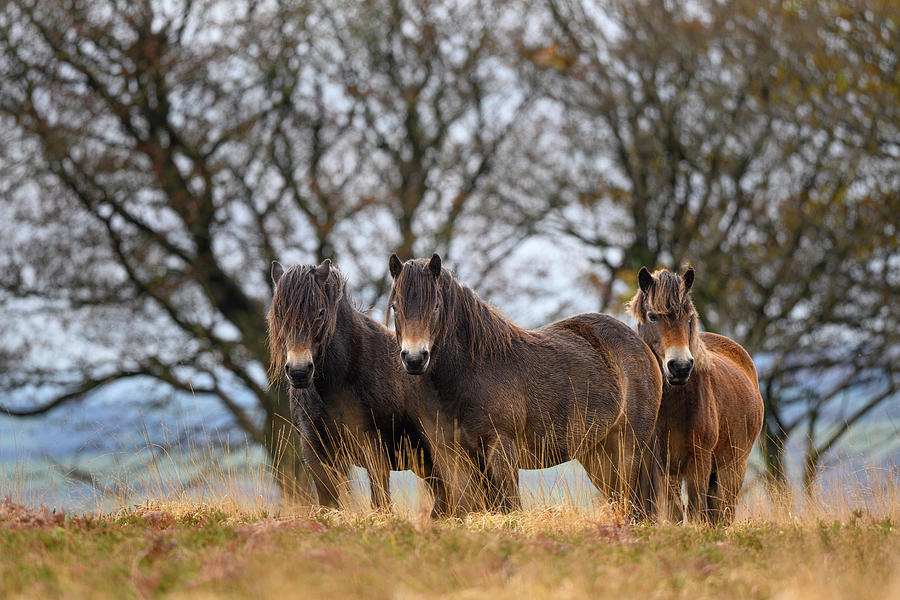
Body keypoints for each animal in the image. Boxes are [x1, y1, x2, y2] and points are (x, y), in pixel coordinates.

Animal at [268, 258, 450, 510]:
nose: (299, 371)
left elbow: (381, 502)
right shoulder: (313, 450)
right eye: (279, 314)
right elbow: (329, 502)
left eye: (321, 312)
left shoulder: (373, 447)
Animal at [386, 253, 660, 520]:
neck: (469, 372)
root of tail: (641, 345)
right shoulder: (449, 455)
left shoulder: (501, 447)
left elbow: (510, 507)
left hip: (627, 449)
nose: (414, 359)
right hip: (596, 455)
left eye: (435, 306)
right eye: (395, 307)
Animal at [628, 268, 764, 524]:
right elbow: (675, 513)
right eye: (652, 316)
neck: (672, 408)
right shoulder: (661, 466)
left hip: (733, 467)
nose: (680, 367)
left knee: (722, 512)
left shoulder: (698, 461)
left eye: (688, 316)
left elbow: (695, 512)